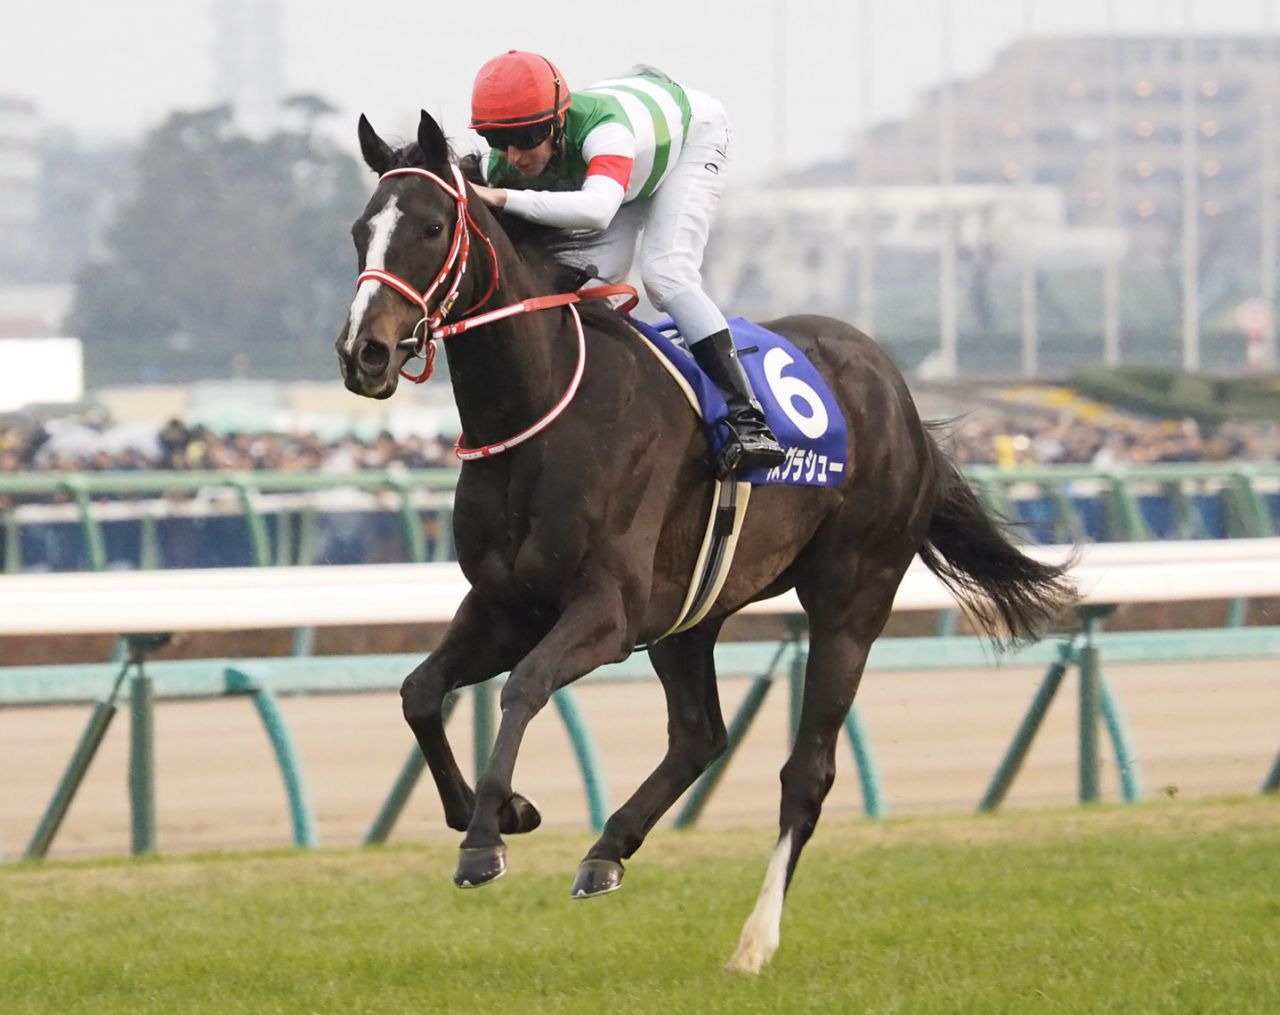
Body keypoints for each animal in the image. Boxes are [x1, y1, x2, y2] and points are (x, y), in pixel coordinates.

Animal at [335, 110, 1075, 973]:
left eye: (430, 227)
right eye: (361, 231)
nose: (364, 353)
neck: (541, 412)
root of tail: (897, 393)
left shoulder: (606, 610)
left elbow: (525, 685)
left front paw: (486, 836)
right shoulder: (504, 603)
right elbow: (420, 690)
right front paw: (500, 809)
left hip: (852, 596)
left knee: (806, 771)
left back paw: (755, 939)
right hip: (690, 612)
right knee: (699, 733)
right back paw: (608, 849)